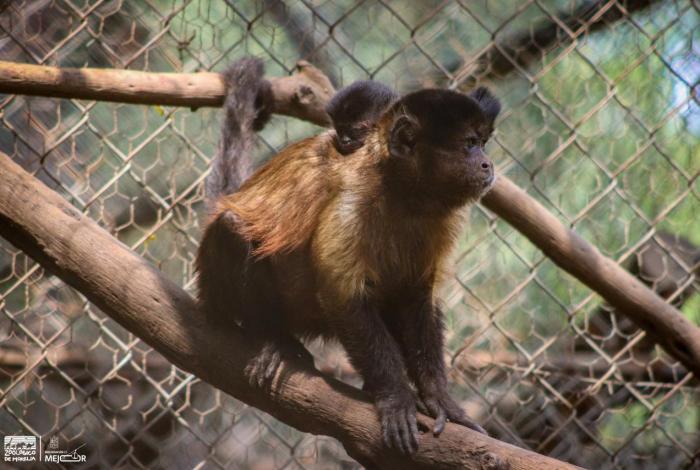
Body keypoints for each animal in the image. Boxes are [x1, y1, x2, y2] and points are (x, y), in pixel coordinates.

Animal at [197, 57, 501, 454]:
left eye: (482, 143)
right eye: (469, 144)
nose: (487, 164)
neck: (403, 194)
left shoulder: (440, 220)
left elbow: (417, 295)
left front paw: (439, 399)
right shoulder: (351, 200)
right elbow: (344, 297)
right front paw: (395, 398)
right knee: (233, 229)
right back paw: (275, 340)